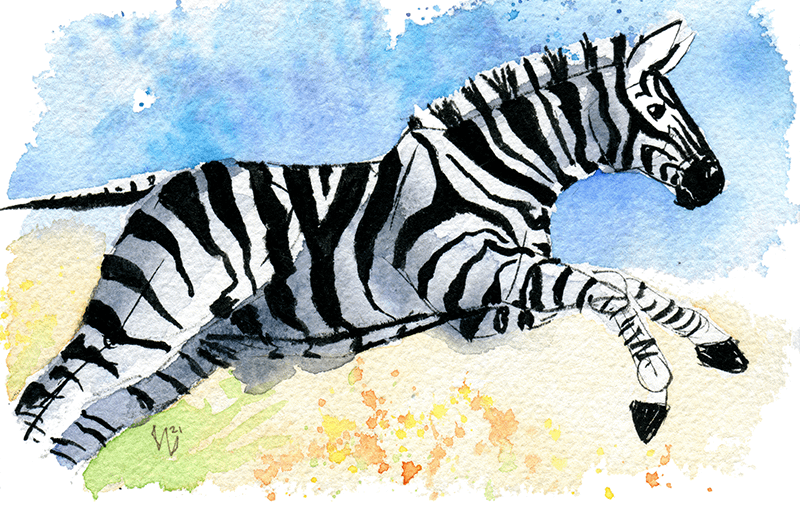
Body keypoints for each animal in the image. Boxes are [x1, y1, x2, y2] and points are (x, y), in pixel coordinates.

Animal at [8, 20, 747, 468]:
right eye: (656, 110)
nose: (714, 182)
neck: (501, 169)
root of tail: (173, 177)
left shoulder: (485, 305)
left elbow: (621, 282)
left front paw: (715, 342)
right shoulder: (471, 274)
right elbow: (603, 287)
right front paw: (653, 390)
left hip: (188, 354)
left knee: (82, 424)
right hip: (147, 318)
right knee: (43, 397)